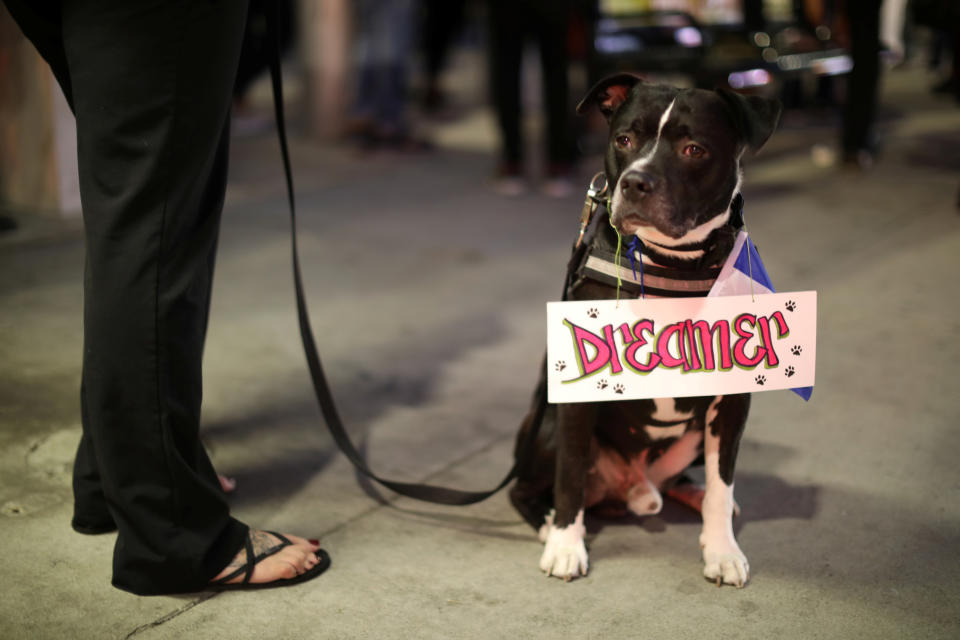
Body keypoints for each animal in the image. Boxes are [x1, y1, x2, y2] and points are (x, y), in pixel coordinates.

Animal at [510, 74, 780, 584]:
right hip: (546, 426)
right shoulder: (577, 397)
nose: (636, 181)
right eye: (624, 140)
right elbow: (569, 476)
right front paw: (566, 546)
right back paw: (550, 524)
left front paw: (722, 550)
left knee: (698, 480)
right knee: (525, 487)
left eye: (694, 149)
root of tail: (633, 484)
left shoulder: (732, 401)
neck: (670, 263)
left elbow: (723, 481)